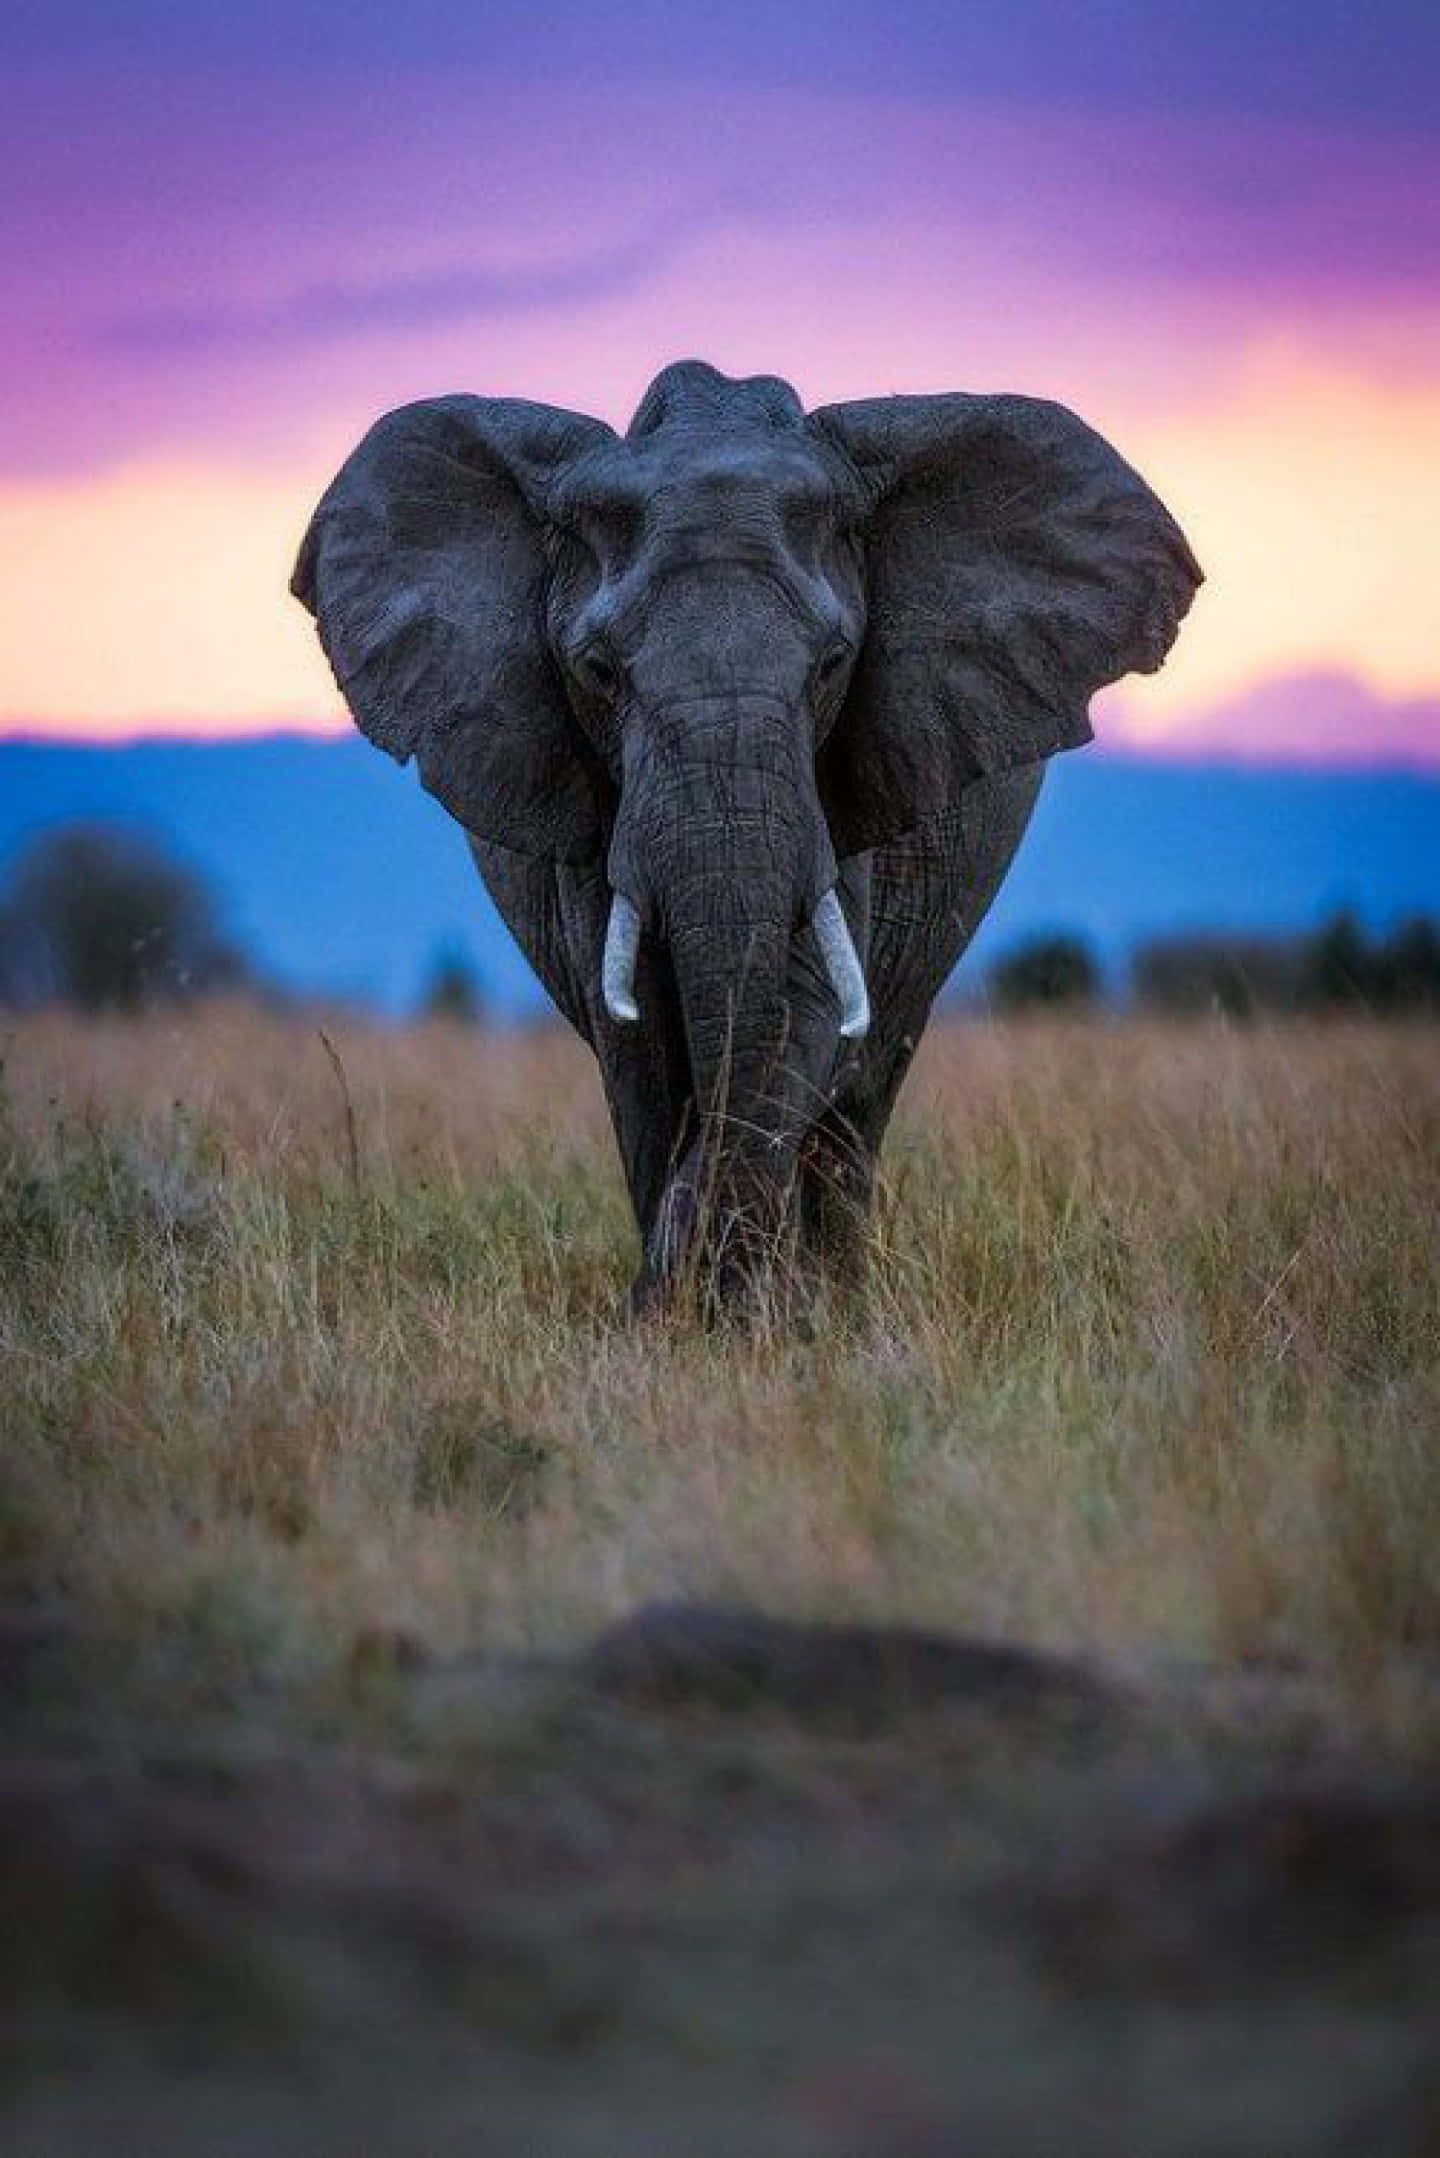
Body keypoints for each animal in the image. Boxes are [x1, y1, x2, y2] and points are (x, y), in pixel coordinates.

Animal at [293, 360, 1200, 1311]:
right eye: (597, 671)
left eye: (834, 664)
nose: (657, 1302)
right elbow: (641, 1039)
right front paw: (679, 1315)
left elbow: (802, 1007)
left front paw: (743, 1313)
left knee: (865, 1088)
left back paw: (840, 1303)